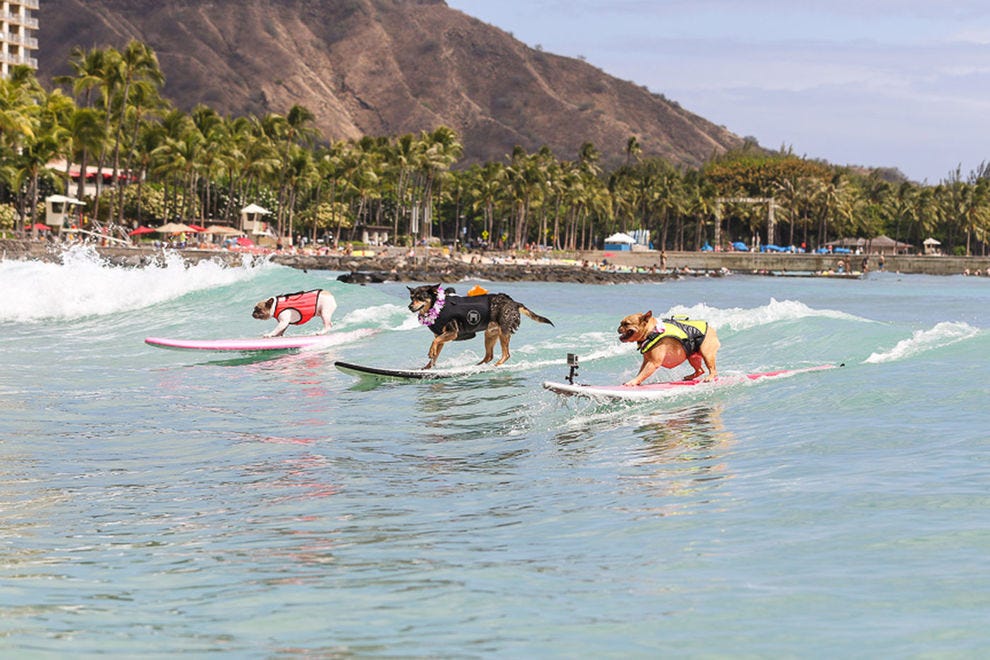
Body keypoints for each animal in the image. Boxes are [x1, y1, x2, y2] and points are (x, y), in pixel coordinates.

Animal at [404, 282, 560, 368]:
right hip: (490, 334)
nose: (409, 306)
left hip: (504, 332)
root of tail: (514, 302)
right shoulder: (443, 336)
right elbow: (436, 350)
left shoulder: (452, 333)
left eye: (420, 298)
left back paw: (496, 366)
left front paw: (430, 352)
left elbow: (435, 341)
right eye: (411, 297)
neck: (437, 307)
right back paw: (477, 366)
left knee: (506, 354)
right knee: (489, 356)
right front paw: (426, 368)